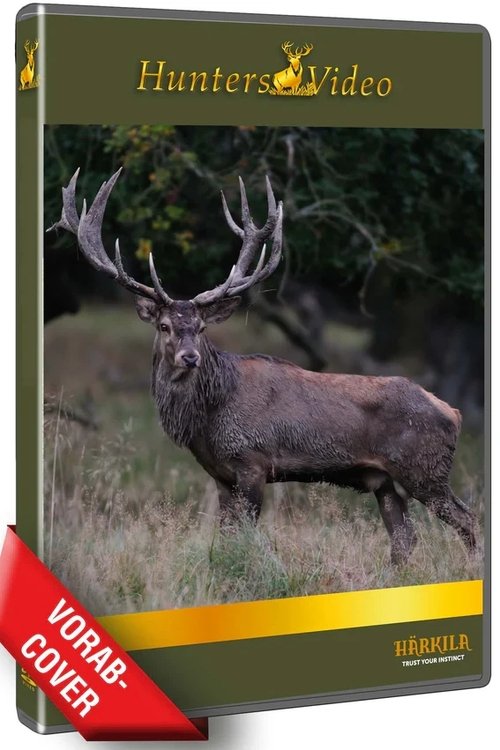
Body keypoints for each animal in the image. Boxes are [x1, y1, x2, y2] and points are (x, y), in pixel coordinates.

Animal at [48, 169, 477, 565]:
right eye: (165, 325)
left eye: (201, 327)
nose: (190, 357)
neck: (207, 419)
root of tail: (453, 412)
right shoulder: (220, 474)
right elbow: (224, 538)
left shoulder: (253, 461)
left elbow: (247, 539)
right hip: (386, 480)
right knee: (404, 539)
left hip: (424, 469)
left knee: (467, 520)